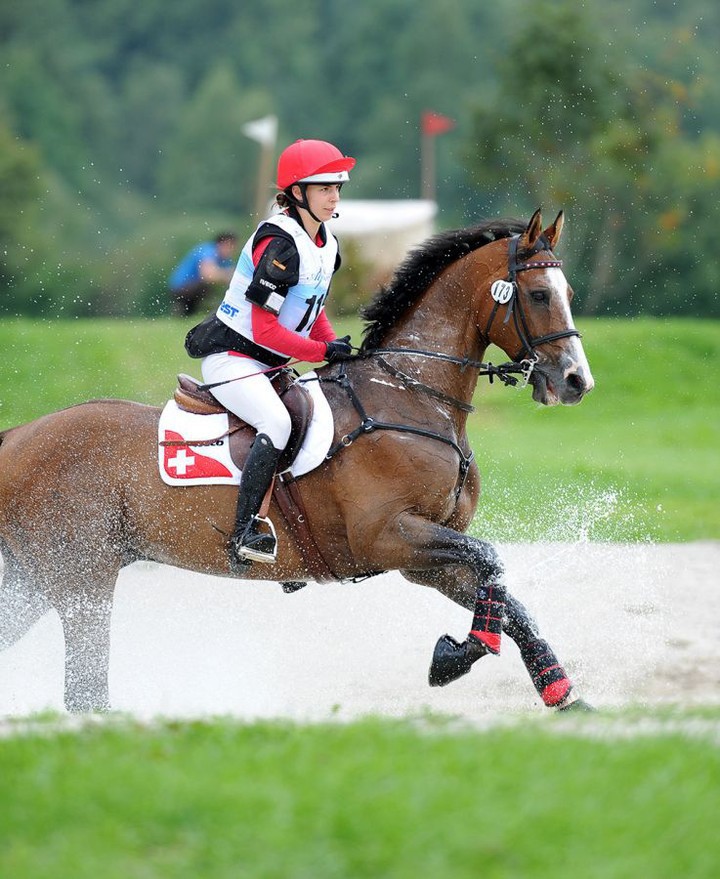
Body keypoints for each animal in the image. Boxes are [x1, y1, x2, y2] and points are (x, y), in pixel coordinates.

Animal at [0, 210, 592, 712]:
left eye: (567, 293)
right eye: (539, 294)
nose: (575, 382)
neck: (409, 394)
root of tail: (17, 437)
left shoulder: (423, 557)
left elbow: (506, 596)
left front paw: (560, 692)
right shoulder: (388, 536)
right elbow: (492, 560)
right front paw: (455, 658)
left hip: (37, 578)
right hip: (82, 578)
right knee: (84, 690)